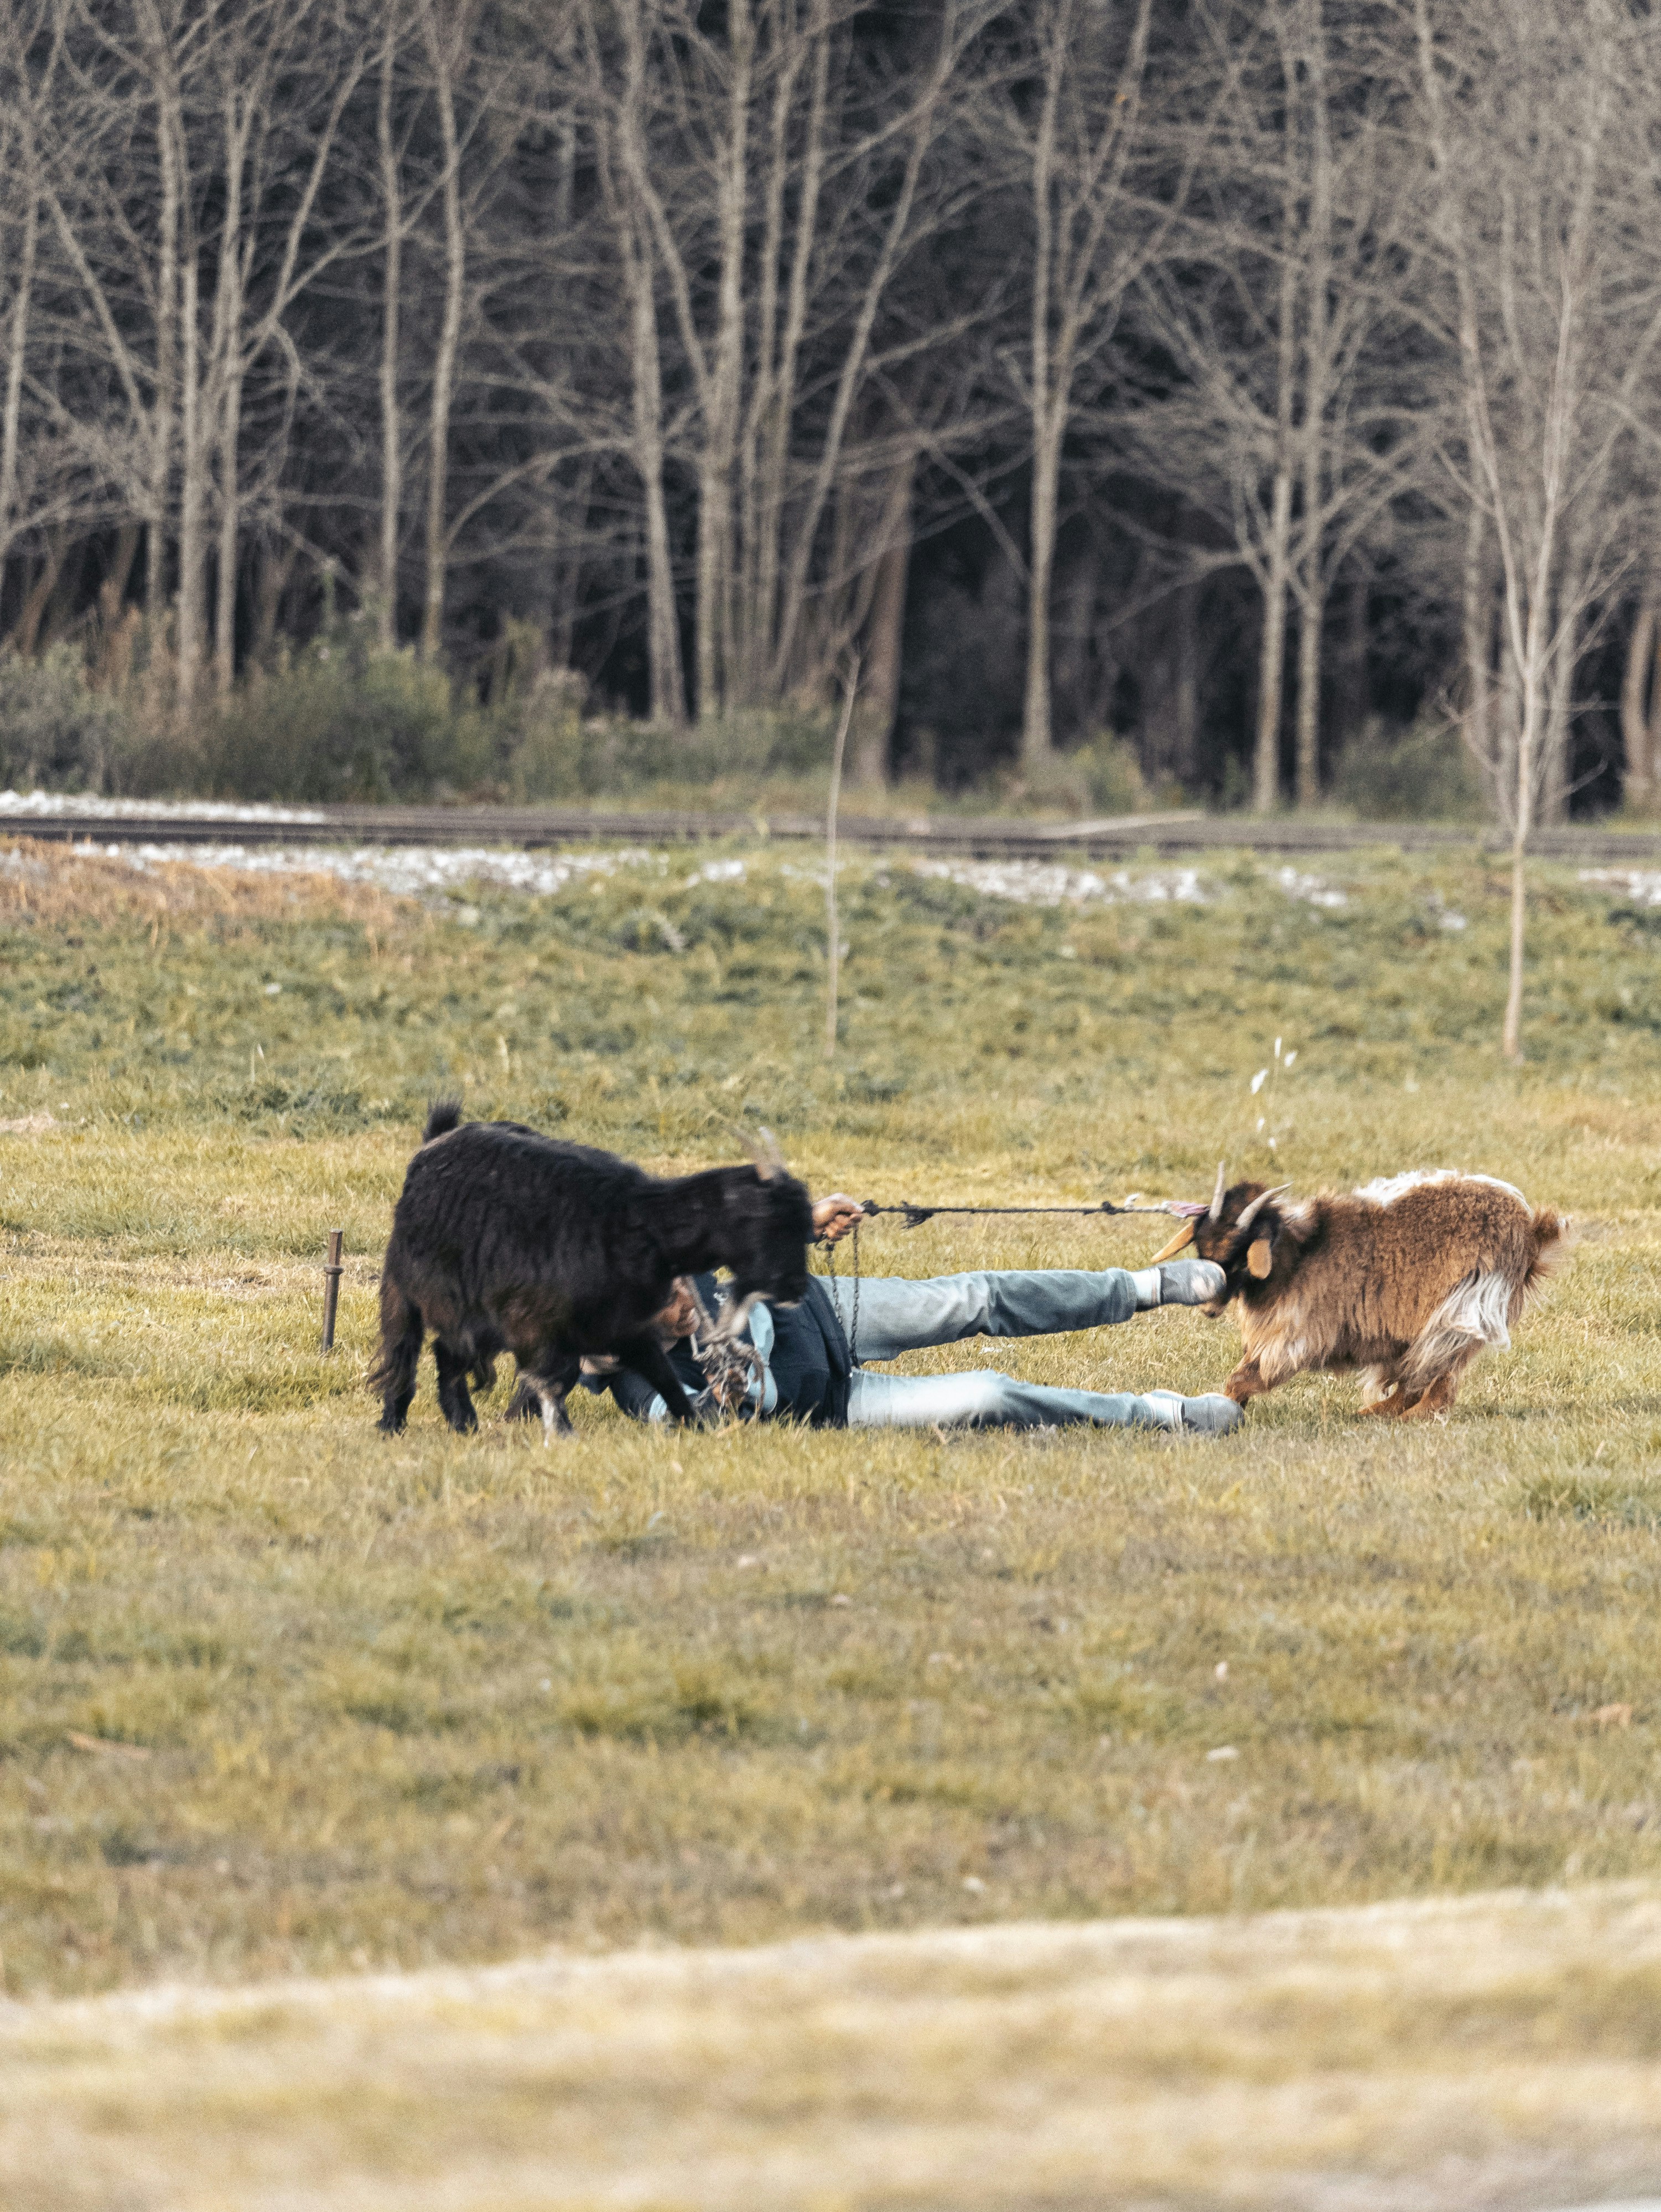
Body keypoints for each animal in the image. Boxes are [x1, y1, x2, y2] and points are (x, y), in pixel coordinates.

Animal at [369, 1104, 815, 1441]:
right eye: (772, 1222)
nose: (797, 1288)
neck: (635, 1223)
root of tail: (433, 1143)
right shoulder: (537, 1325)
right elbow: (555, 1380)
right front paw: (563, 1434)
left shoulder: (623, 1326)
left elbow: (664, 1377)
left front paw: (697, 1426)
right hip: (407, 1288)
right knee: (403, 1349)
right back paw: (393, 1424)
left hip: (477, 1317)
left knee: (447, 1354)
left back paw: (464, 1425)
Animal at [1148, 1164, 1566, 1417]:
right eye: (1202, 1248)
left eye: (1238, 1255)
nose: (1209, 1308)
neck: (1298, 1254)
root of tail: (1530, 1229)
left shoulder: (1295, 1334)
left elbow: (1245, 1377)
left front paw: (1224, 1408)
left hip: (1459, 1311)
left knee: (1436, 1384)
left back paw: (1392, 1416)